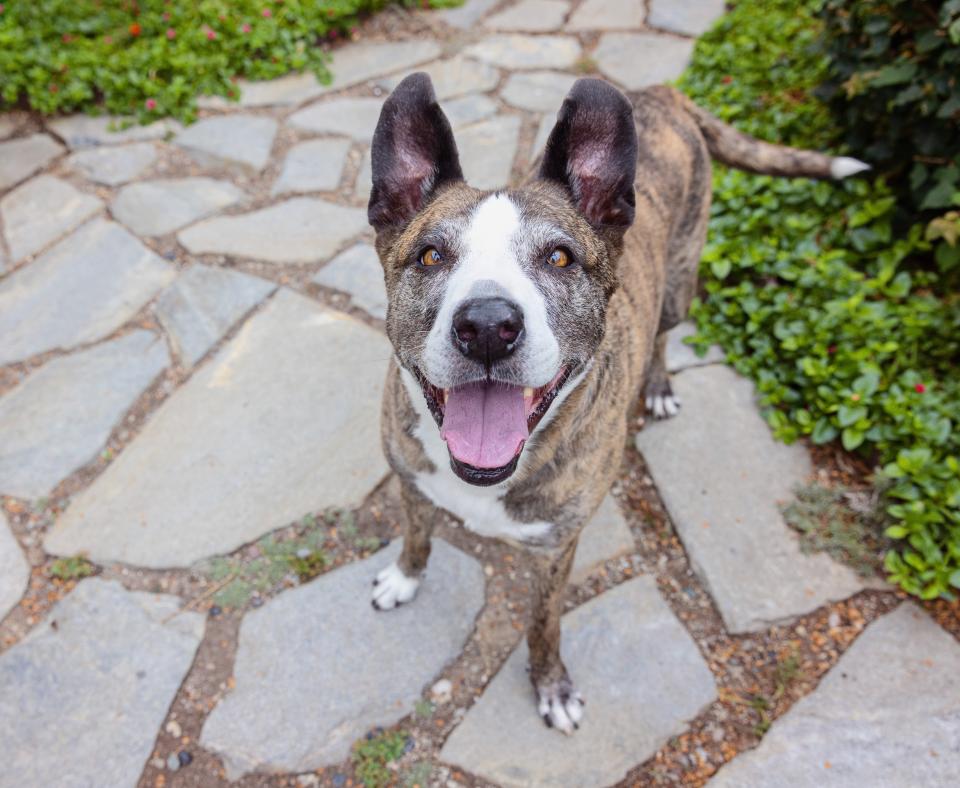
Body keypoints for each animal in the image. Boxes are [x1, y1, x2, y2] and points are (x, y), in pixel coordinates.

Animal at [362, 74, 872, 732]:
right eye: (430, 255)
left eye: (559, 257)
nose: (488, 326)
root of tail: (662, 92)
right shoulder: (411, 479)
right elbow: (417, 535)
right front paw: (405, 578)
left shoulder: (557, 550)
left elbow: (543, 624)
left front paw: (550, 685)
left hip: (679, 285)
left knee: (662, 333)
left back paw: (657, 387)